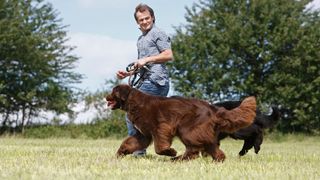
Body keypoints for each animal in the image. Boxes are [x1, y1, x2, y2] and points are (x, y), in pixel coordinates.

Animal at [106, 84, 256, 162]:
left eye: (113, 92)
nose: (105, 97)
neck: (134, 103)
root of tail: (213, 108)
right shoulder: (143, 134)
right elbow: (129, 143)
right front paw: (119, 153)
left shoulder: (161, 127)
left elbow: (159, 147)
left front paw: (170, 152)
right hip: (198, 132)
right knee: (209, 149)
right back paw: (217, 160)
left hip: (187, 130)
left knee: (194, 150)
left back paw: (177, 158)